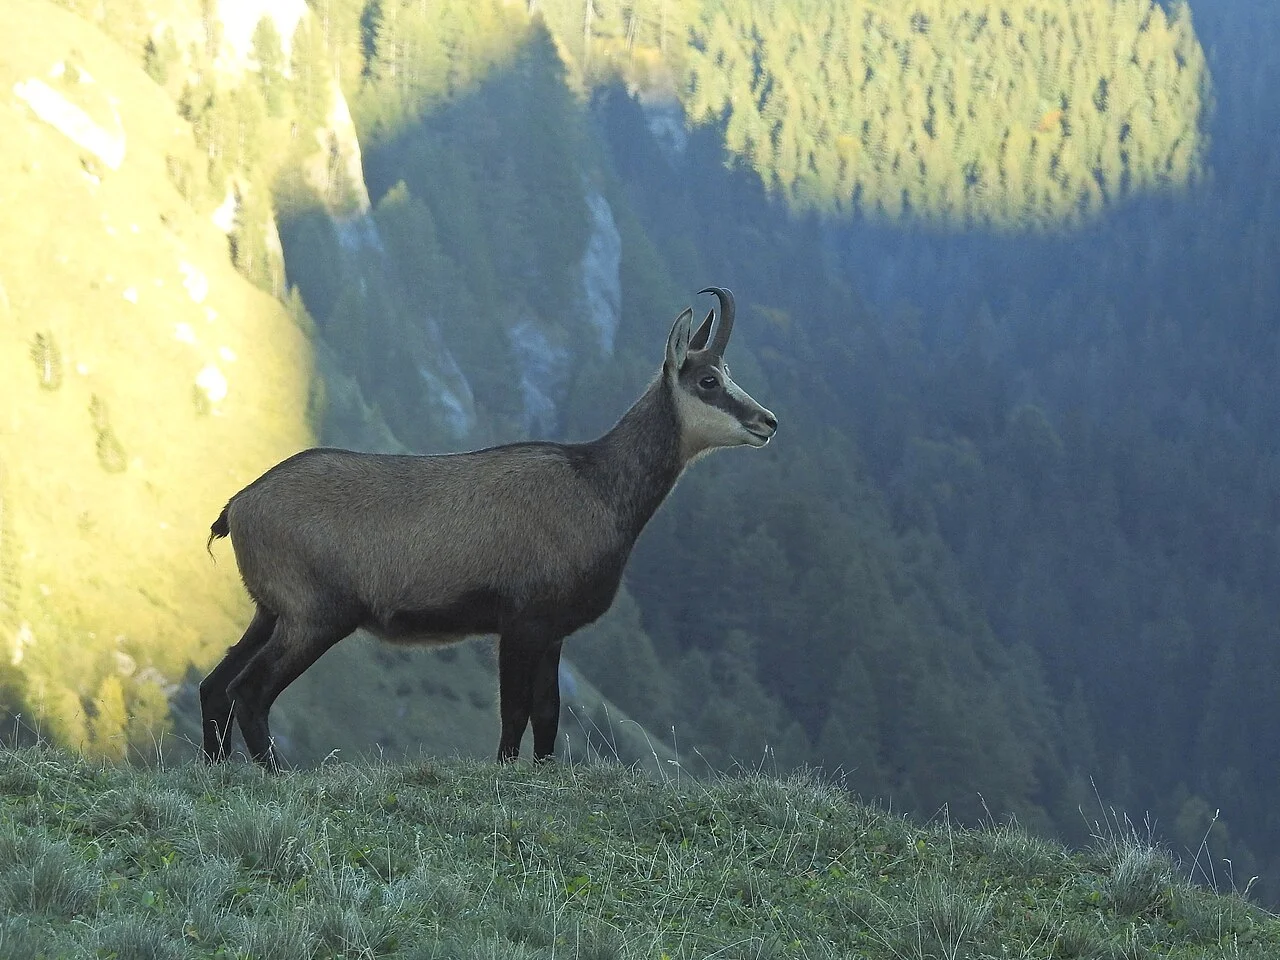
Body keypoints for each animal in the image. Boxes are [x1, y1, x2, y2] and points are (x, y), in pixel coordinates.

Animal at [201, 287, 777, 768]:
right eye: (709, 380)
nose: (768, 422)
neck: (596, 486)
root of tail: (240, 505)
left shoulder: (551, 632)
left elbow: (547, 715)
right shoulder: (521, 624)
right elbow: (515, 714)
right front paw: (505, 775)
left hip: (270, 612)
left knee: (215, 685)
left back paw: (218, 770)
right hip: (314, 616)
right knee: (249, 692)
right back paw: (277, 774)